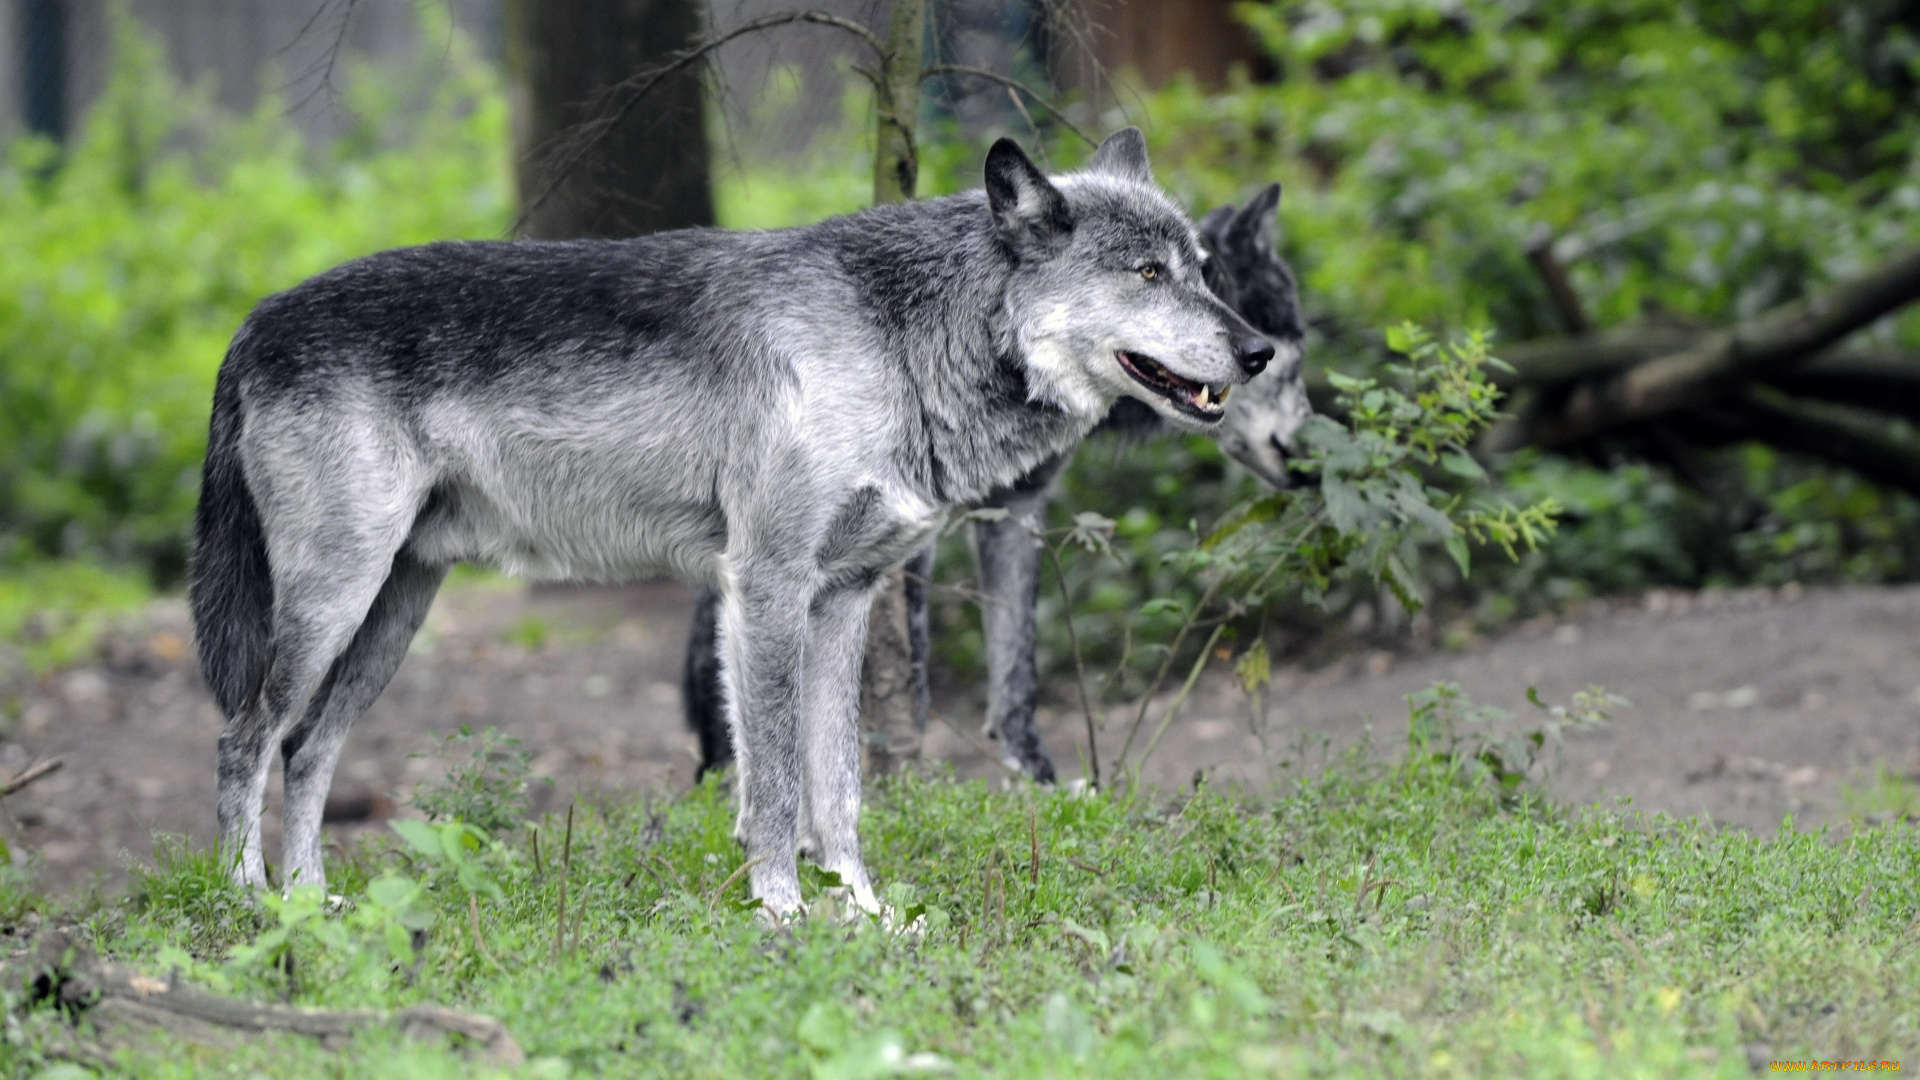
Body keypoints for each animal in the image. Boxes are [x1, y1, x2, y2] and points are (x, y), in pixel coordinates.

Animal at [683, 180, 1313, 776]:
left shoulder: (1017, 507)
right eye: (1278, 359)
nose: (1309, 455)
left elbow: (1017, 656)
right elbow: (914, 656)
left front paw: (1032, 772)